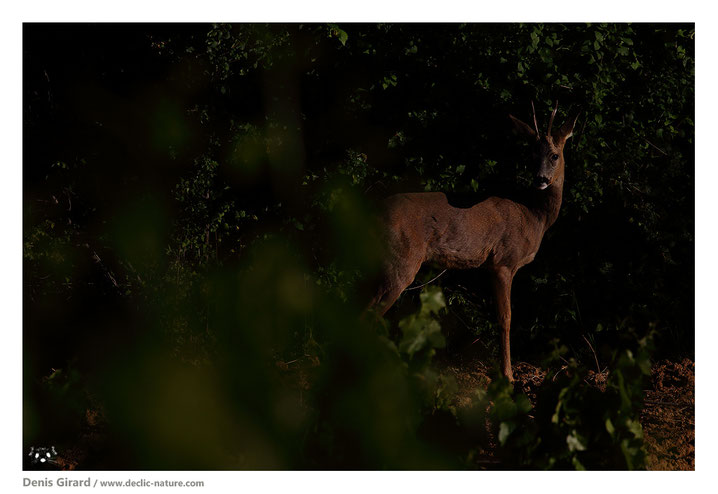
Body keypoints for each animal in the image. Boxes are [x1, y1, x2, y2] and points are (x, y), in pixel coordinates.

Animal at [368, 101, 584, 382]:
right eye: (531, 155)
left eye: (554, 155)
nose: (541, 179)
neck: (533, 216)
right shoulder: (503, 261)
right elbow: (506, 317)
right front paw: (508, 375)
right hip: (402, 260)